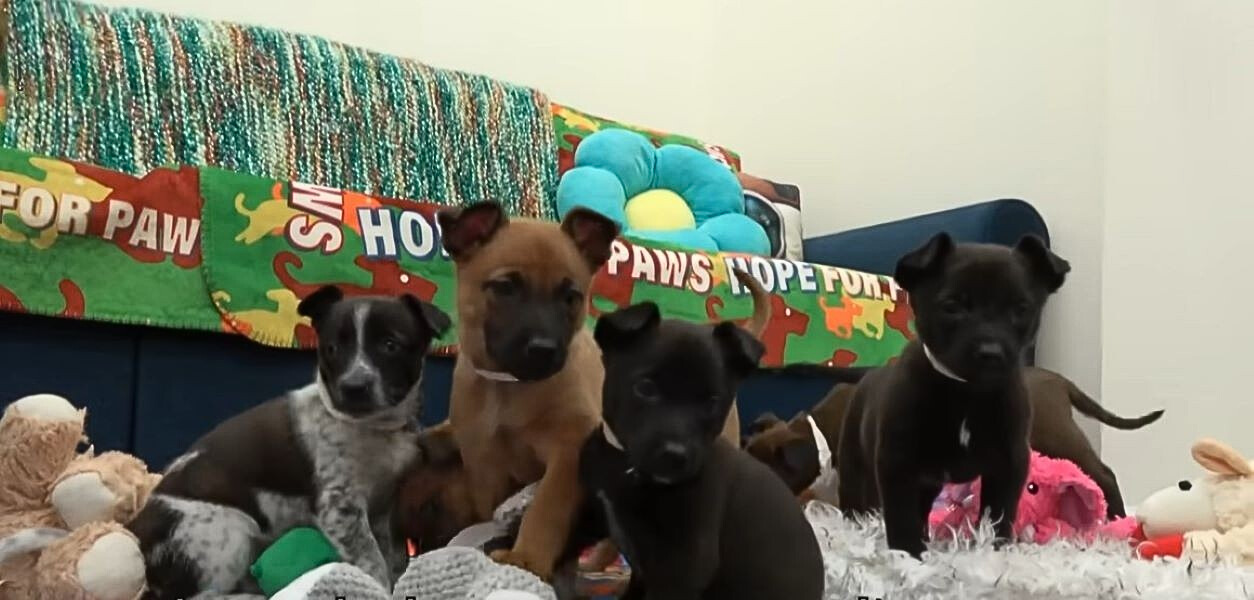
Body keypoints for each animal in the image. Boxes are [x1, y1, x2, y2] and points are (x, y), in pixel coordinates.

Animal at [126, 284, 451, 594]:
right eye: (332, 349)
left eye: (390, 345)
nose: (353, 387)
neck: (375, 428)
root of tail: (134, 532)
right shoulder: (340, 509)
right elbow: (372, 561)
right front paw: (379, 587)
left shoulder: (386, 509)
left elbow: (393, 557)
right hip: (230, 532)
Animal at [837, 233, 1073, 557]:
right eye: (952, 306)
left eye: (1021, 308)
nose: (990, 352)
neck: (967, 392)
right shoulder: (897, 463)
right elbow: (901, 516)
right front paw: (907, 555)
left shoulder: (1009, 462)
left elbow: (1000, 513)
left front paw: (994, 549)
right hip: (855, 464)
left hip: (929, 482)